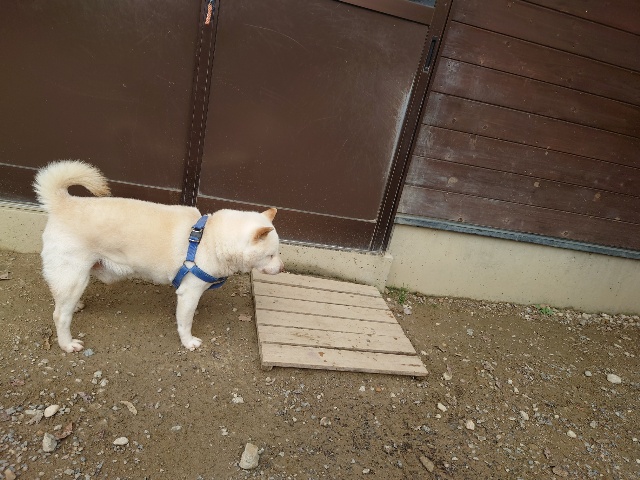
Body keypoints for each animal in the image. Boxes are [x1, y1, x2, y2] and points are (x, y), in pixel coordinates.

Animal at [34, 160, 284, 352]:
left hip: (73, 277)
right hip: (73, 276)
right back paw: (67, 344)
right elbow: (185, 322)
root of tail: (63, 203)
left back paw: (75, 305)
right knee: (59, 315)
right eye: (271, 255)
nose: (282, 268)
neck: (210, 239)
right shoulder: (189, 292)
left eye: (277, 254)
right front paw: (188, 342)